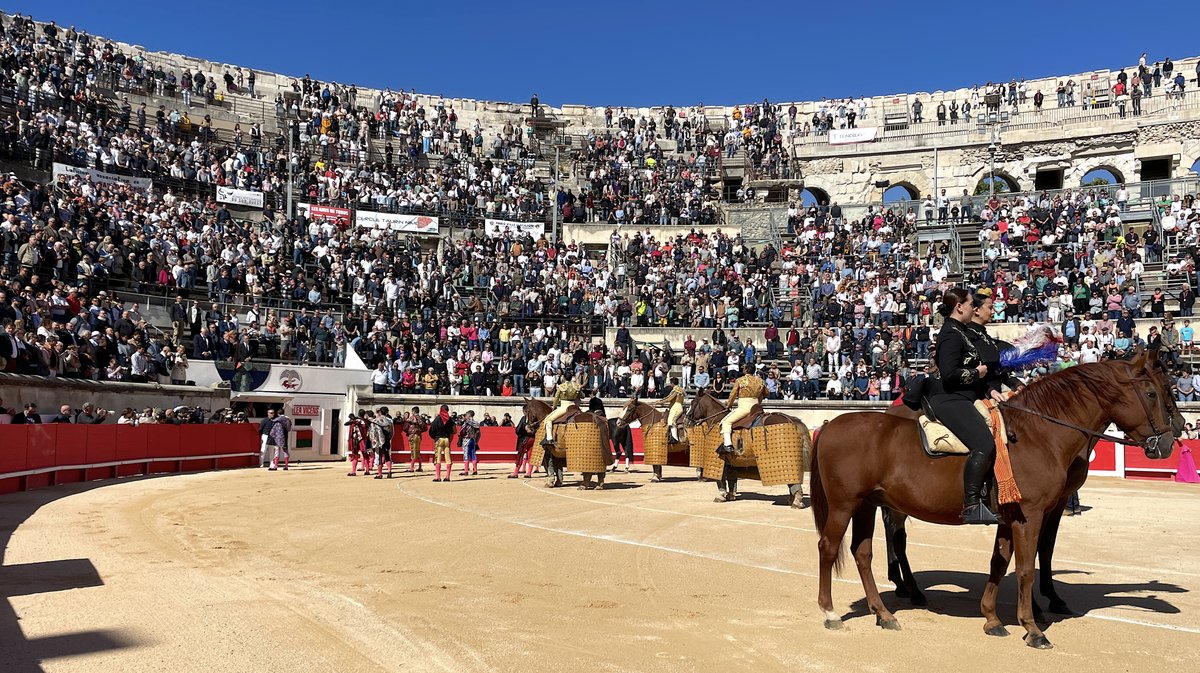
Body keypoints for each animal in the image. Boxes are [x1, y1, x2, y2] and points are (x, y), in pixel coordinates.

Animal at [811, 352, 1176, 647]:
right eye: (1151, 393)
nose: (1169, 442)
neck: (1039, 434)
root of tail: (829, 425)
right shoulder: (1031, 514)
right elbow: (1026, 567)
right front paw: (1033, 628)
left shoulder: (1012, 517)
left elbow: (999, 562)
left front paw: (992, 618)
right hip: (844, 505)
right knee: (829, 548)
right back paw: (830, 612)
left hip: (867, 505)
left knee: (863, 553)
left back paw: (884, 612)